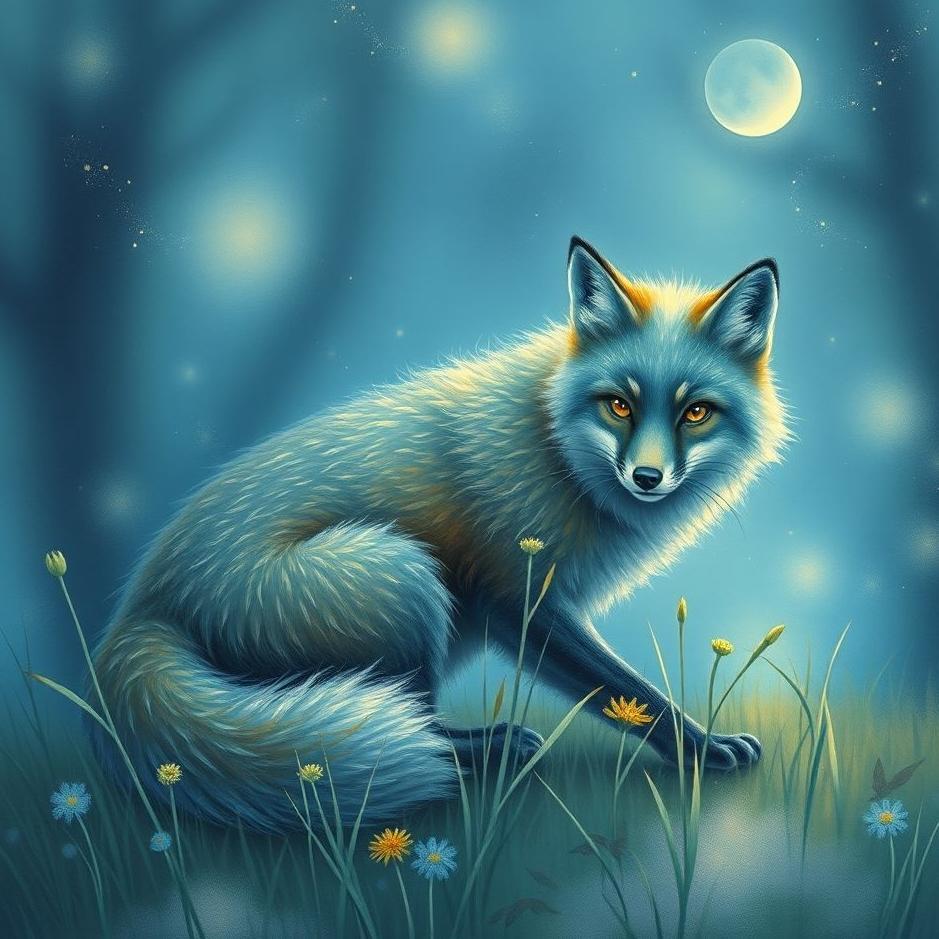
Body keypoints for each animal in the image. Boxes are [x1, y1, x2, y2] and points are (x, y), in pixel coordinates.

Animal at [92, 237, 789, 832]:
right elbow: (629, 692)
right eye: (619, 404)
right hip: (401, 575)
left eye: (695, 412)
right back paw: (488, 749)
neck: (553, 444)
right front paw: (702, 748)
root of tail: (140, 609)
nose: (647, 477)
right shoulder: (517, 598)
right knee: (416, 732)